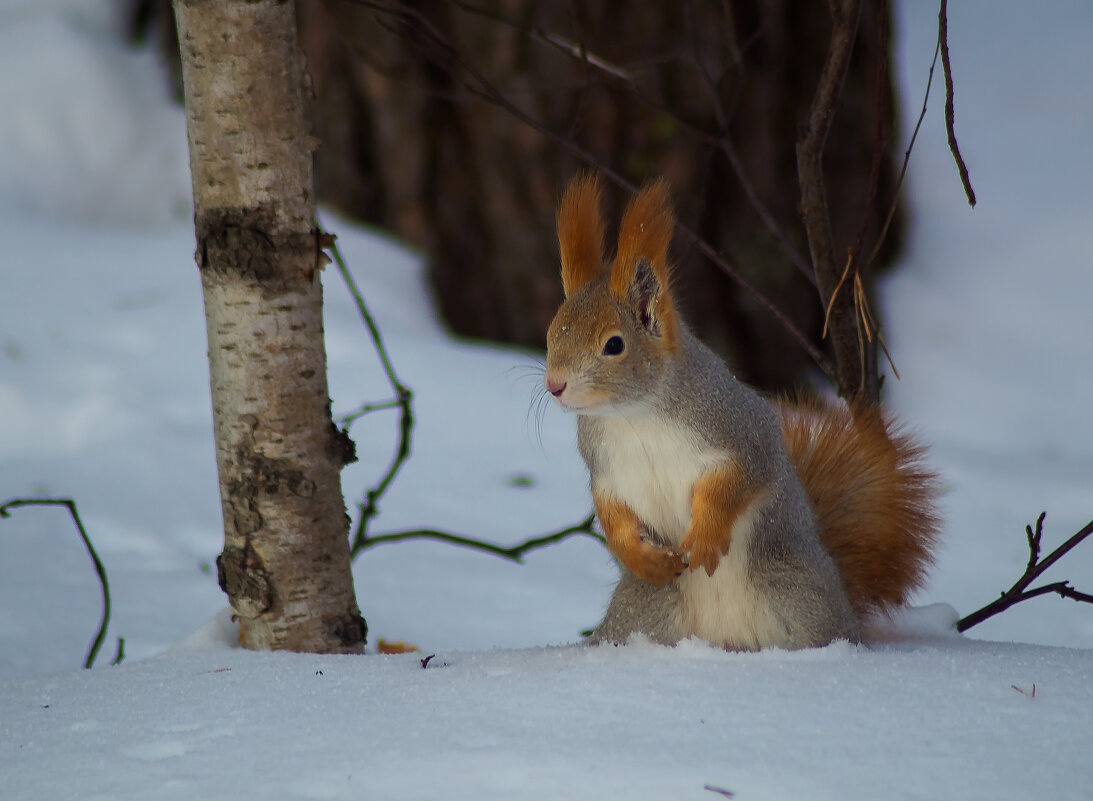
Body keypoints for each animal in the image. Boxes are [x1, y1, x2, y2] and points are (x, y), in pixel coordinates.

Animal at [546, 174, 939, 651]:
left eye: (614, 344)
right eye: (552, 333)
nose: (555, 385)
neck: (634, 415)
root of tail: (726, 641)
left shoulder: (739, 431)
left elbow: (738, 481)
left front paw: (705, 538)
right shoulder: (605, 469)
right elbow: (612, 515)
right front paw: (642, 558)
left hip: (793, 593)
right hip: (645, 611)